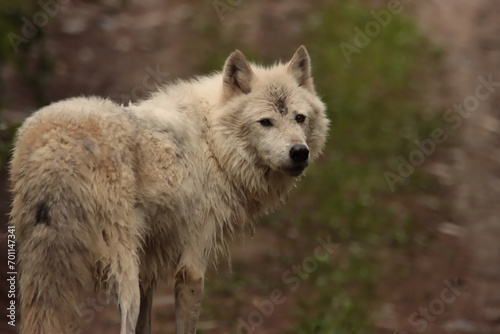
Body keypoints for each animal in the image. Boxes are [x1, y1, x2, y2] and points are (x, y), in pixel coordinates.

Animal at [9, 46, 330, 334]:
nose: (299, 152)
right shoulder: (191, 267)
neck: (213, 143)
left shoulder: (147, 268)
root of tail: (58, 143)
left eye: (299, 118)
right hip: (124, 275)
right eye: (265, 122)